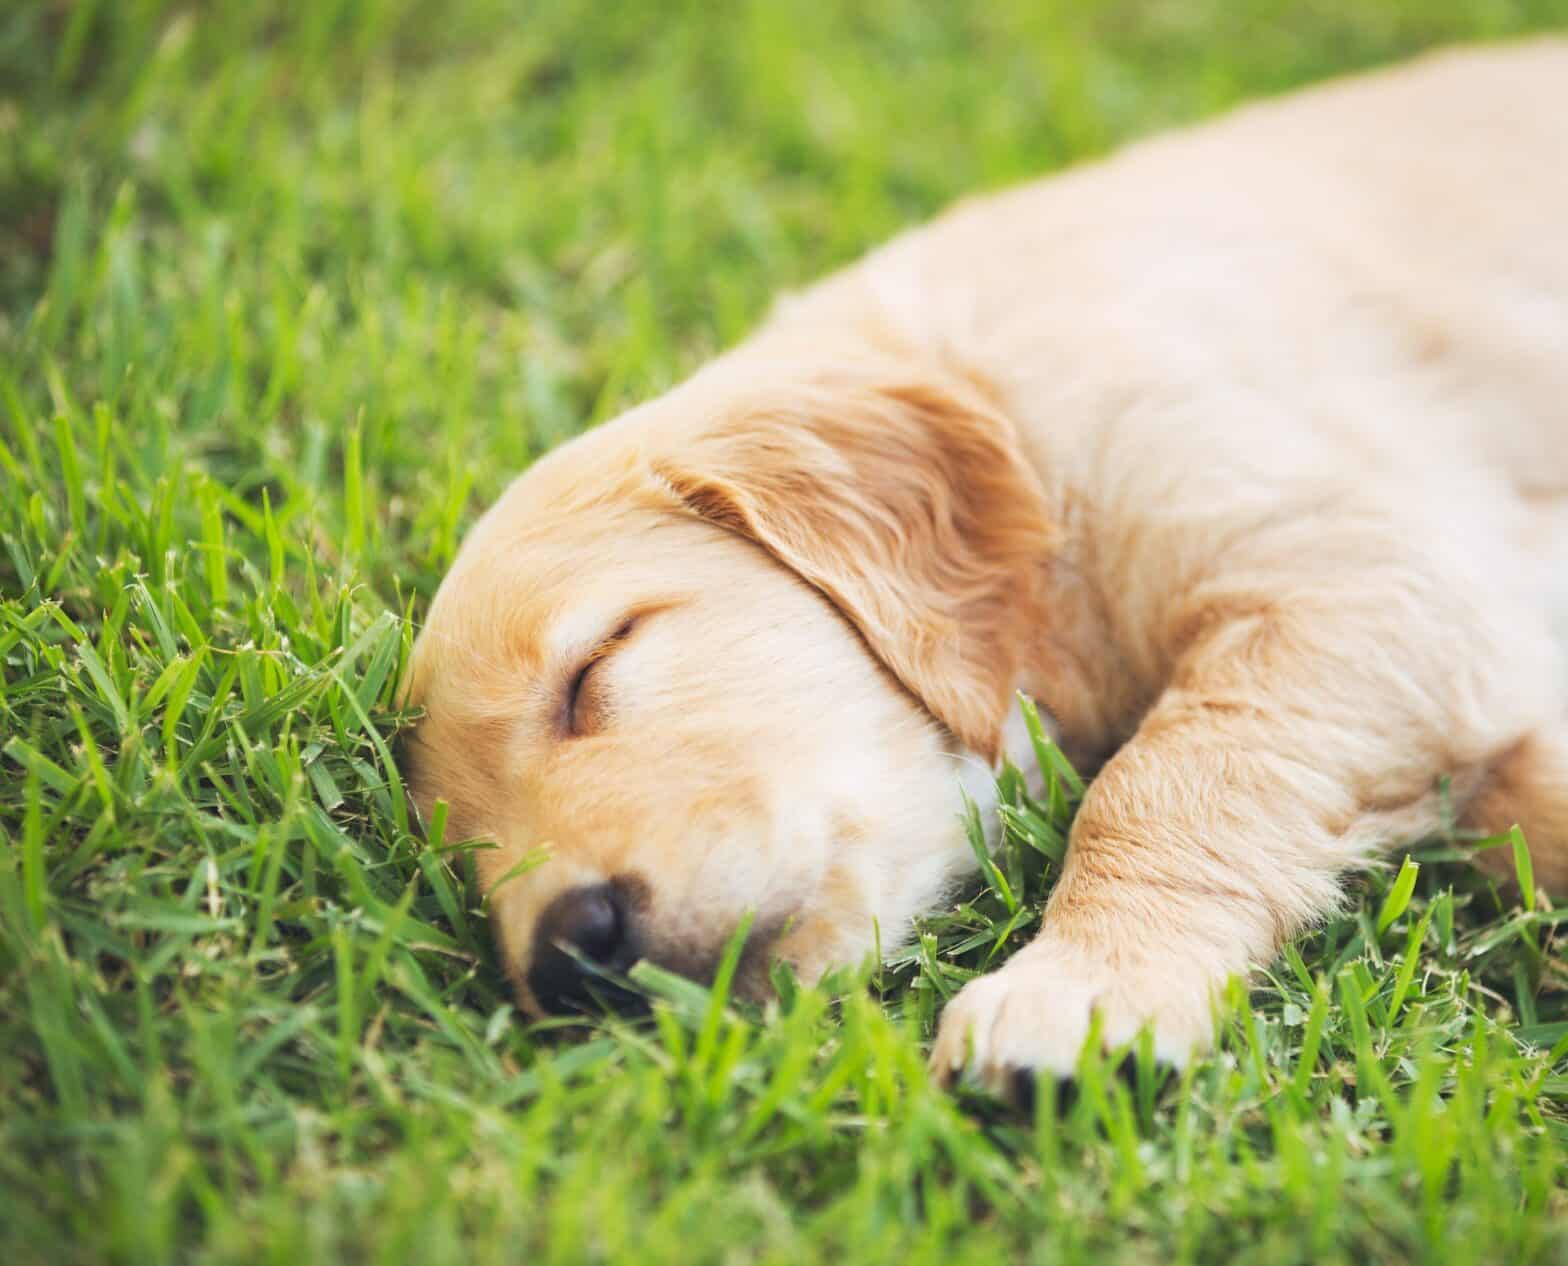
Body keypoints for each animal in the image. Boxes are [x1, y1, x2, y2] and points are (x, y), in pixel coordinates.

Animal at [404, 44, 1568, 1091]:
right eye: (460, 859)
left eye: (594, 666)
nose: (568, 956)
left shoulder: (1366, 571)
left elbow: (1168, 773)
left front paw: (1084, 987)